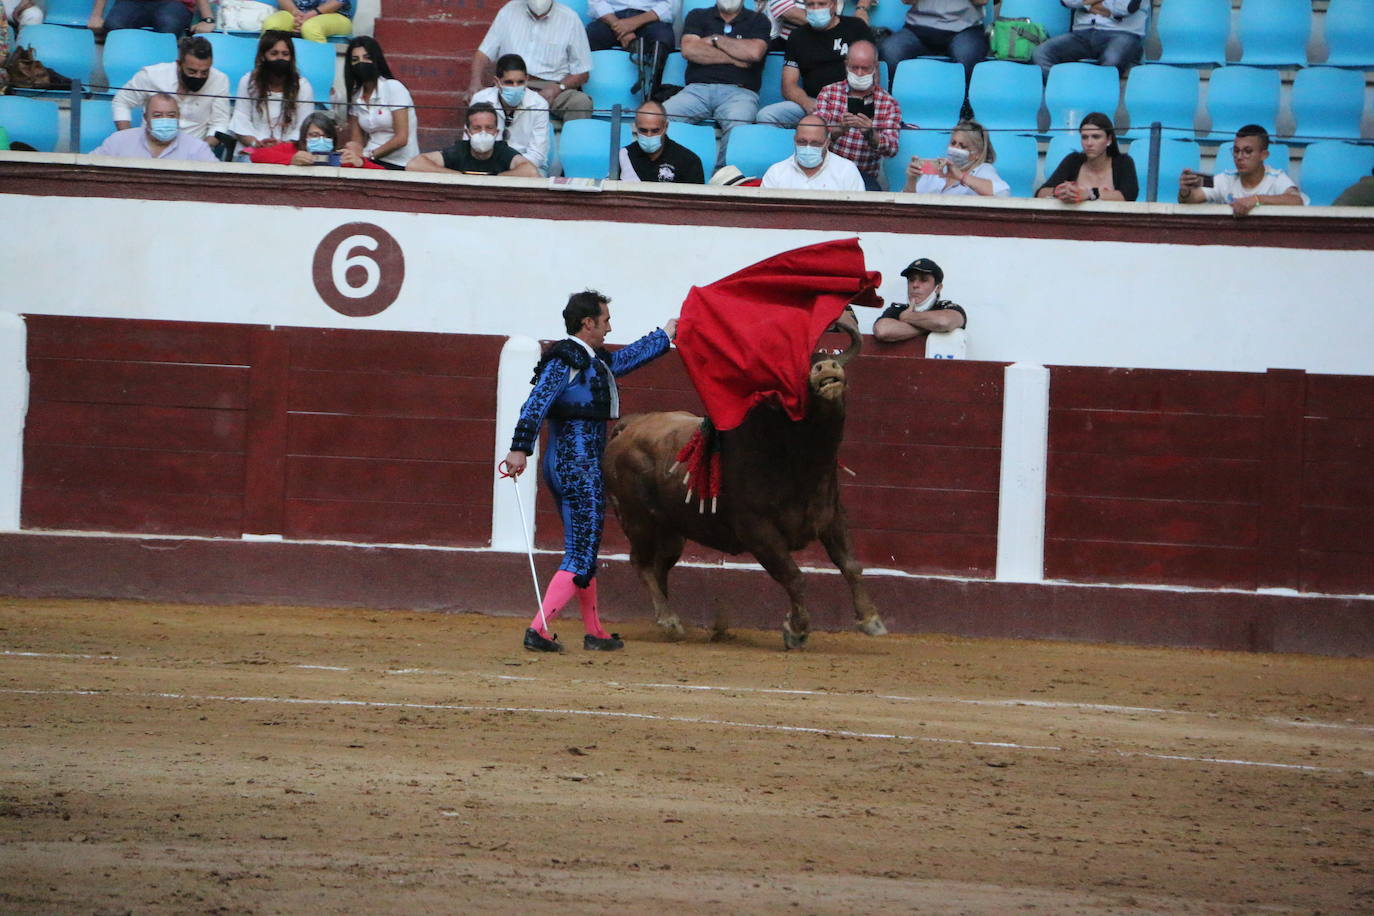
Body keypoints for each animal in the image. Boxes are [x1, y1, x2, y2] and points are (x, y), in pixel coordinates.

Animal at [604, 322, 890, 650]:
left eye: (828, 357)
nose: (826, 367)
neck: (798, 461)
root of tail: (628, 426)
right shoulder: (758, 531)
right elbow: (794, 576)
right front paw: (796, 629)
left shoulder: (831, 517)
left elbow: (850, 564)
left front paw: (871, 619)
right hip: (636, 520)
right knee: (640, 562)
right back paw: (669, 621)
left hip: (672, 531)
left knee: (659, 566)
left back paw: (668, 621)